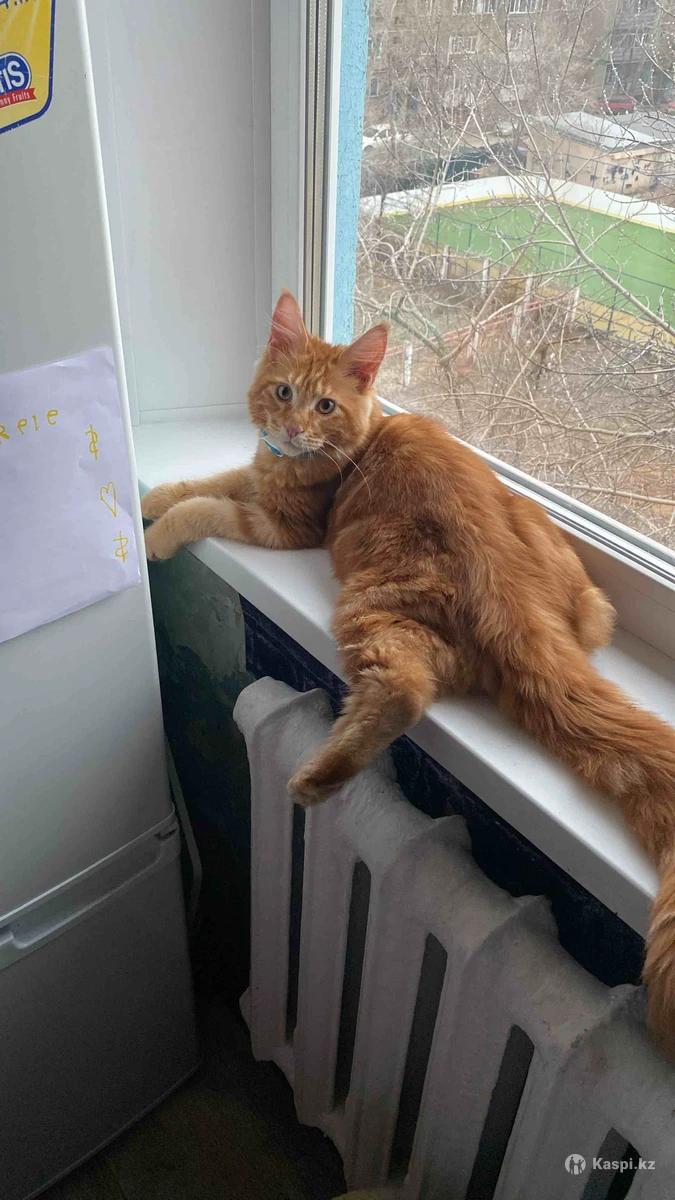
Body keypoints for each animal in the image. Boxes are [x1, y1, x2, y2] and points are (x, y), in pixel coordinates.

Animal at [143, 290, 675, 1057]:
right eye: (284, 392)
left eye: (325, 405)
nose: (294, 428)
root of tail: (517, 601)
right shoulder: (256, 473)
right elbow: (211, 479)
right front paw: (153, 497)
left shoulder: (283, 524)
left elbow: (209, 505)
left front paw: (159, 530)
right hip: (584, 599)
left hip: (372, 610)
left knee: (403, 691)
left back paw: (317, 777)